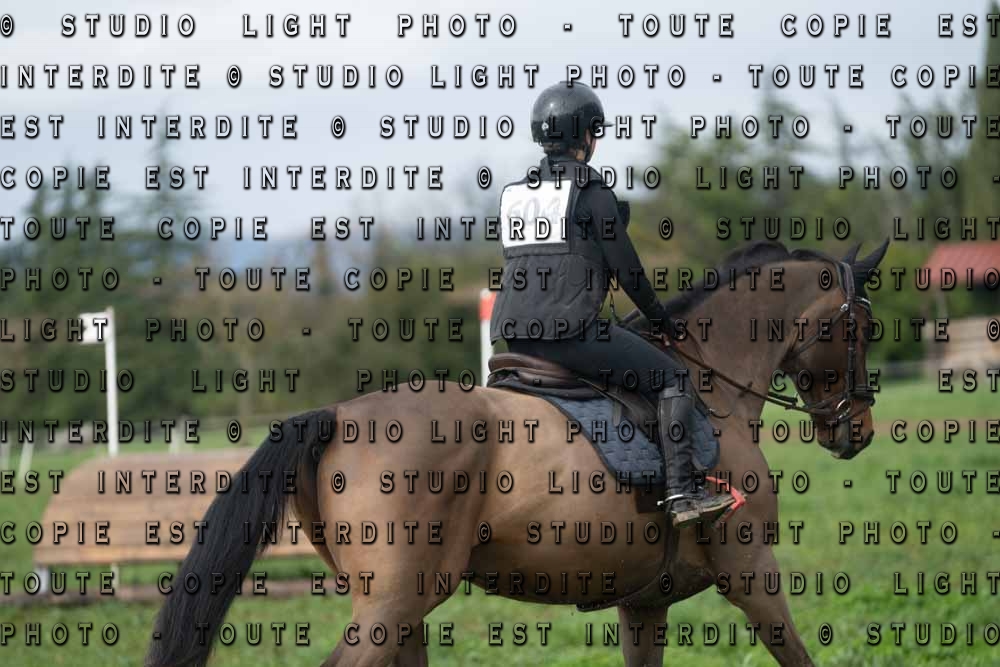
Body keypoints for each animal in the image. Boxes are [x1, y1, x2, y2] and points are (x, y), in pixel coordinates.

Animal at [146, 238, 889, 667]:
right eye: (861, 325)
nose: (856, 430)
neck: (715, 382)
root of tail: (336, 415)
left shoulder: (645, 603)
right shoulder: (751, 572)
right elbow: (796, 655)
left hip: (401, 610)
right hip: (391, 608)